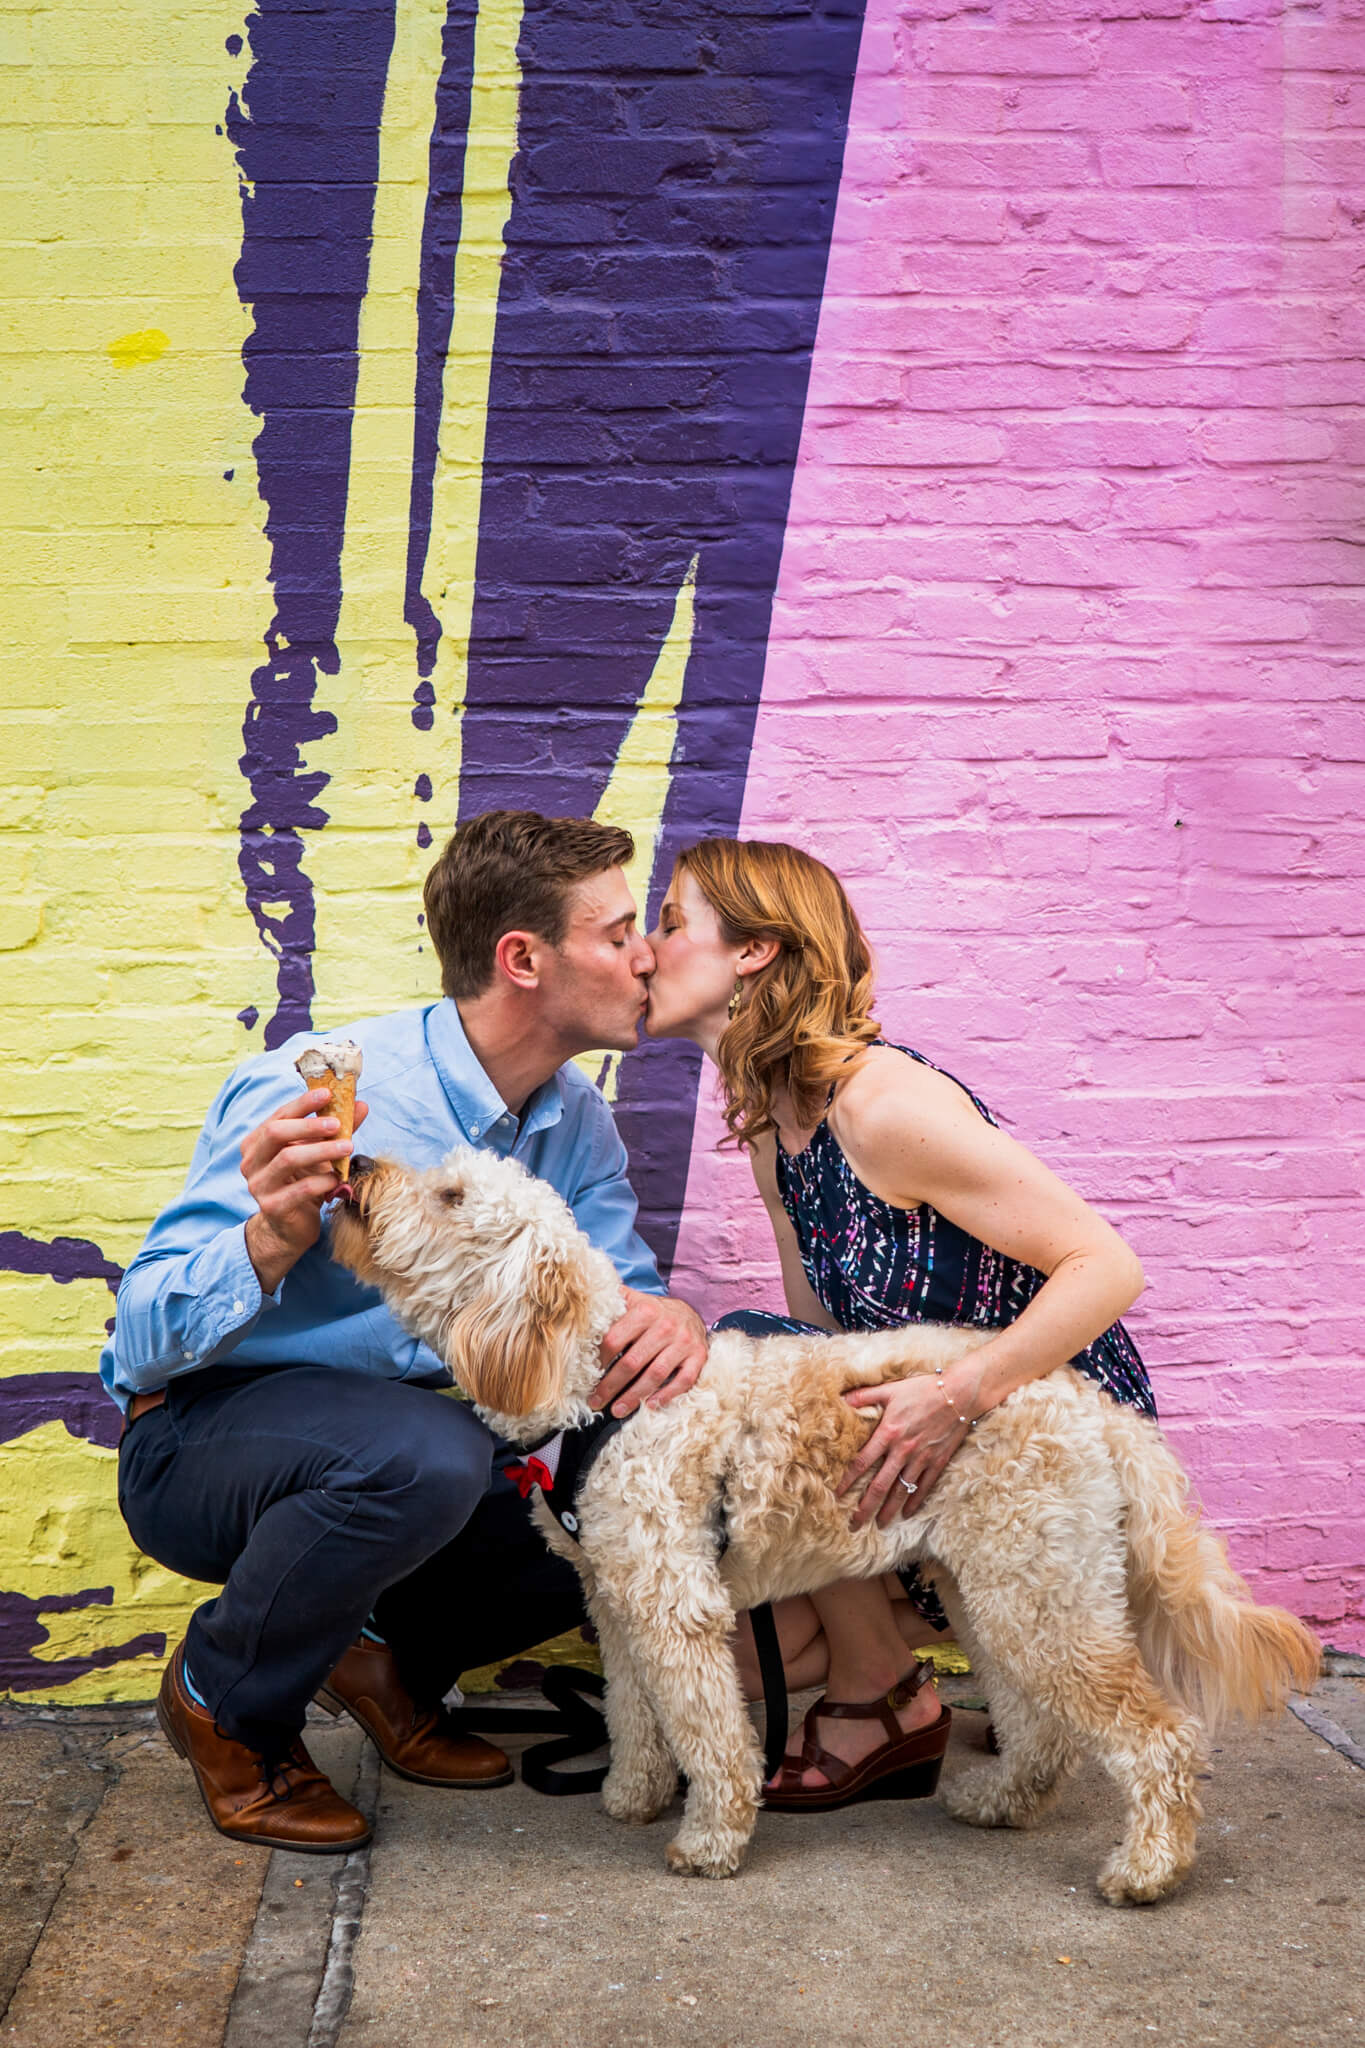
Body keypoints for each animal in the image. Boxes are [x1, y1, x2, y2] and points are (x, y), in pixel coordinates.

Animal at [325, 1155, 1317, 1900]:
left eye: (452, 1196)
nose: (357, 1162)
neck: (596, 1384)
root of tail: (1095, 1408)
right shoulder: (613, 1594)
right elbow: (633, 1710)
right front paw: (632, 1793)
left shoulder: (675, 1604)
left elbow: (709, 1732)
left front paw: (710, 1840)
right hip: (994, 1589)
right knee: (1041, 1729)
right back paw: (1001, 1801)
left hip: (1042, 1595)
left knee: (1156, 1737)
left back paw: (1147, 1870)